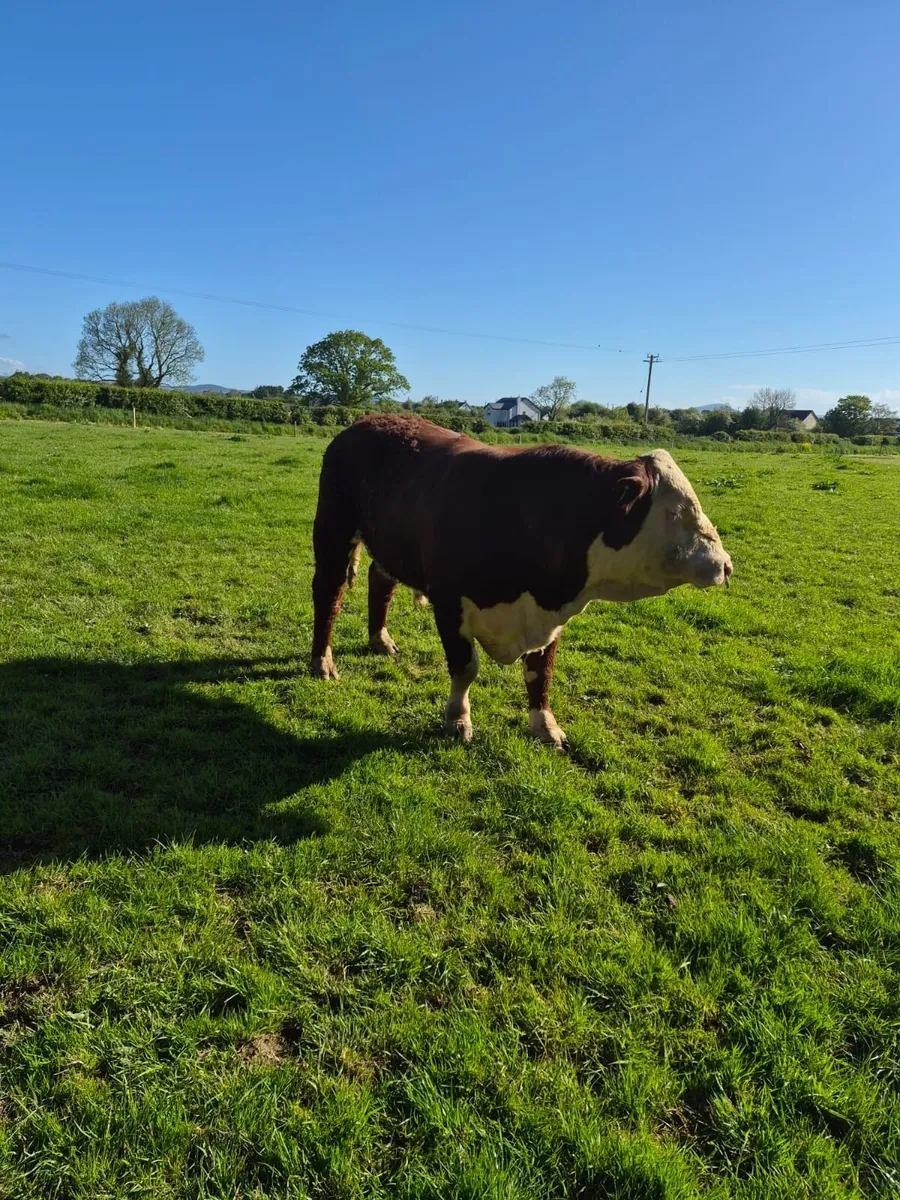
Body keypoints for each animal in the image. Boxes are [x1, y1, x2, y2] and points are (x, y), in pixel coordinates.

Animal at [310, 414, 732, 748]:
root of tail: (366, 421)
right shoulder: (449, 601)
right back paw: (322, 663)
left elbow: (539, 673)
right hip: (333, 530)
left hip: (390, 544)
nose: (726, 565)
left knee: (380, 582)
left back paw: (380, 640)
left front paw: (545, 727)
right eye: (676, 511)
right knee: (328, 594)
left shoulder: (549, 612)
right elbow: (465, 667)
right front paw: (457, 721)